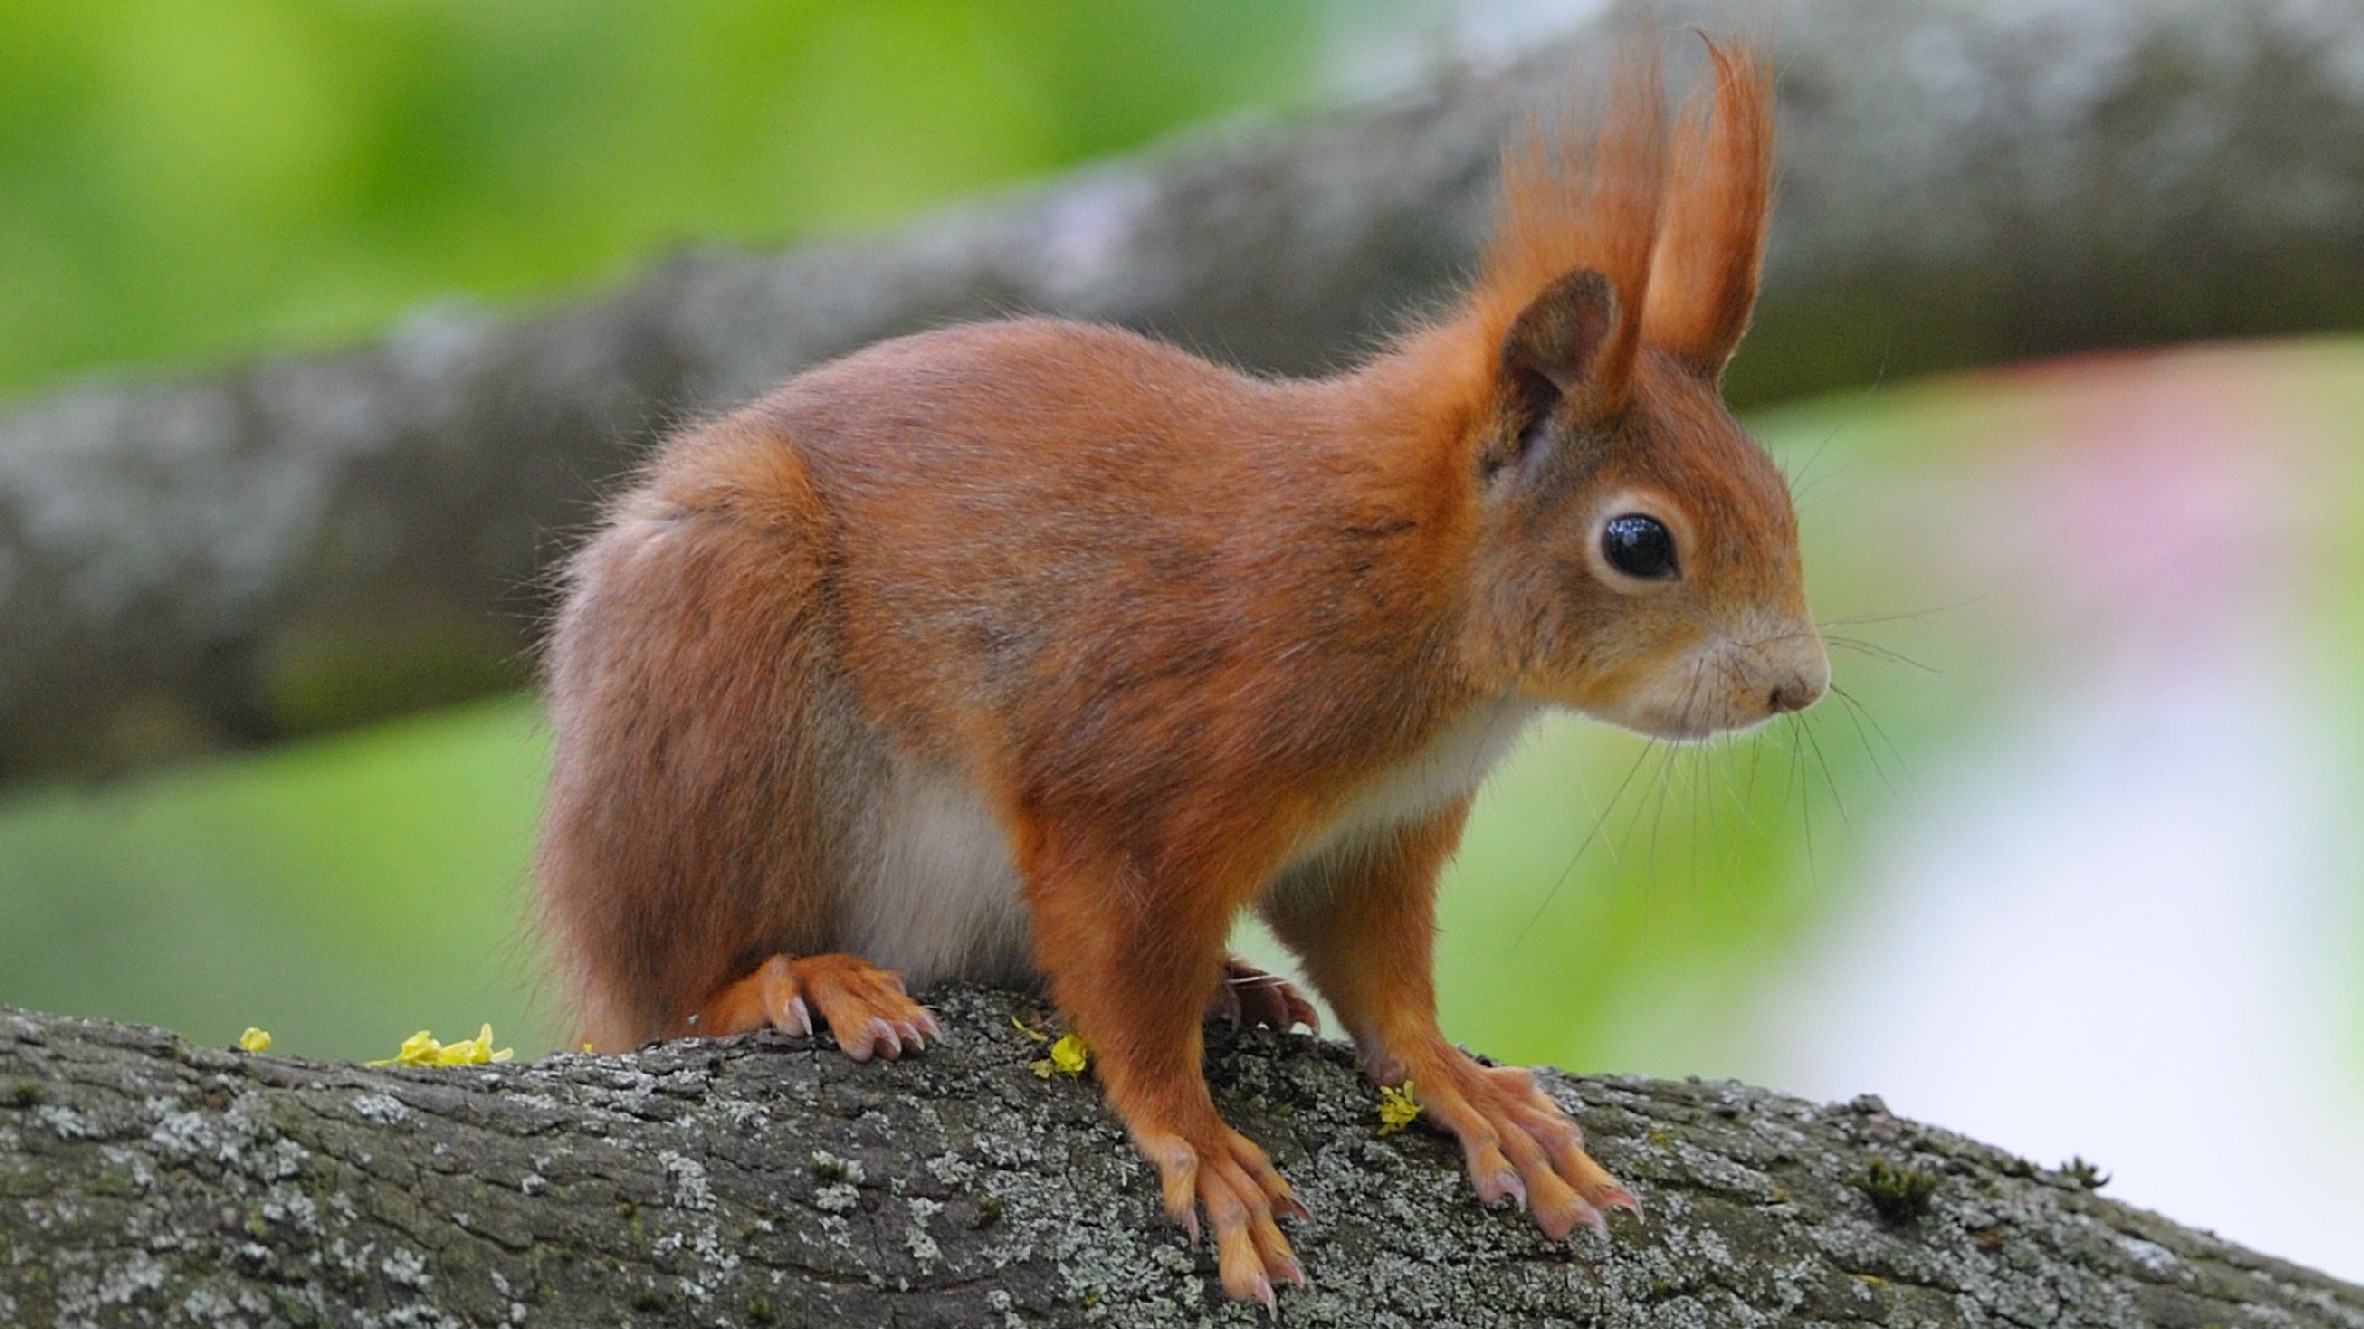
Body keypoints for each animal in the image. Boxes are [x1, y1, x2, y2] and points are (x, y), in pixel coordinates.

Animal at [541, 33, 1825, 1305]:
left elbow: (1381, 976)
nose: (1797, 685)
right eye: (1638, 542)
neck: (1408, 586)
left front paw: (1459, 1085)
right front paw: (1195, 1140)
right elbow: (1125, 982)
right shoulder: (1138, 783)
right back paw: (791, 980)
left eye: (1776, 488)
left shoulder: (1373, 838)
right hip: (713, 683)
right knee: (675, 980)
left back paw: (1237, 990)